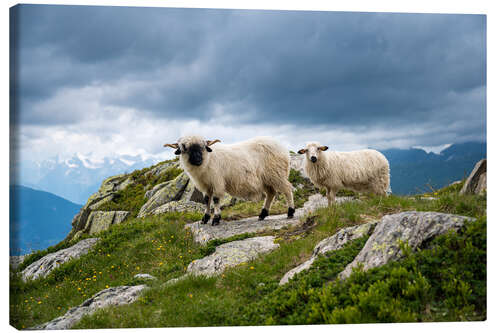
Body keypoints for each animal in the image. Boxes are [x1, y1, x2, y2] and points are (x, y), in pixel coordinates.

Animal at [166, 136, 294, 226]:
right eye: (185, 148)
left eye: (203, 147)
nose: (198, 159)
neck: (208, 159)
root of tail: (282, 147)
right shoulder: (206, 185)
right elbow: (207, 200)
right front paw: (205, 218)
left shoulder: (217, 181)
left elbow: (216, 199)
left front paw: (216, 219)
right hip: (266, 179)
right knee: (271, 193)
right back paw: (262, 214)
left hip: (277, 174)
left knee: (287, 190)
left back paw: (290, 212)